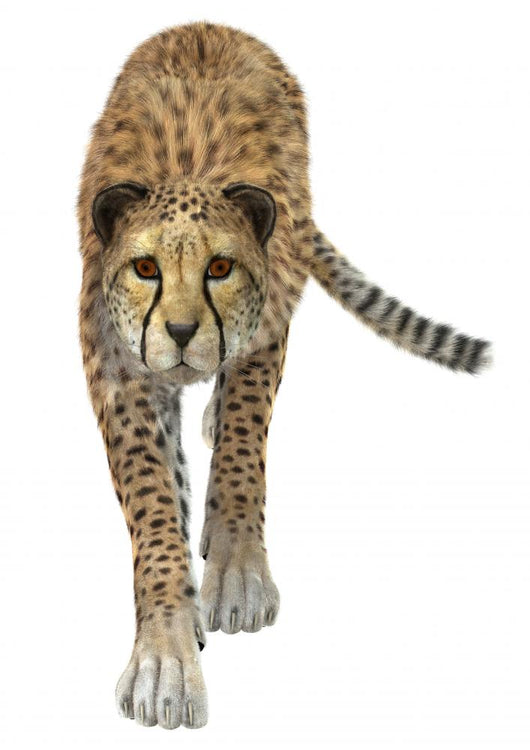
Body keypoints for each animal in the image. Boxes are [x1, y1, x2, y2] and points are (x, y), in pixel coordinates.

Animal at [77, 21, 492, 730]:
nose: (181, 332)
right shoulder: (115, 367)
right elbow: (153, 496)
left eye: (219, 267)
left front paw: (237, 570)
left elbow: (244, 444)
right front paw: (169, 648)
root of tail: (211, 24)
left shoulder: (263, 333)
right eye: (145, 269)